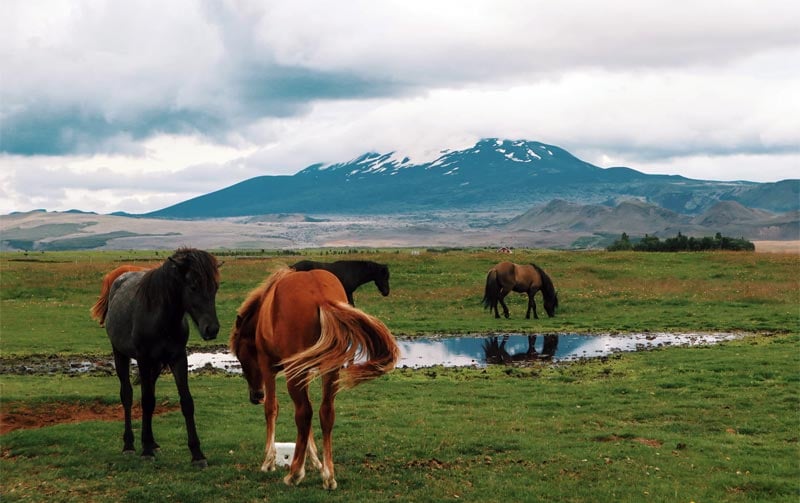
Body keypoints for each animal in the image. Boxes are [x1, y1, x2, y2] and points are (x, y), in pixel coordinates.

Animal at [96, 248, 222, 468]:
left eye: (215, 287)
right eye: (193, 286)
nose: (212, 329)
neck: (162, 318)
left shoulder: (178, 358)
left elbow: (186, 402)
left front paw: (197, 454)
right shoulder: (144, 359)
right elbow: (146, 401)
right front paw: (145, 449)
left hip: (156, 365)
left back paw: (153, 442)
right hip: (121, 354)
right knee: (127, 395)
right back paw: (129, 445)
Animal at [230, 270, 398, 490]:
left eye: (241, 357)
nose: (255, 396)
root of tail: (321, 298)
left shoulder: (268, 368)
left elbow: (272, 409)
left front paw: (269, 461)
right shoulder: (306, 371)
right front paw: (316, 461)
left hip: (295, 373)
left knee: (304, 413)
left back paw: (295, 474)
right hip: (330, 371)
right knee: (325, 413)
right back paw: (328, 475)